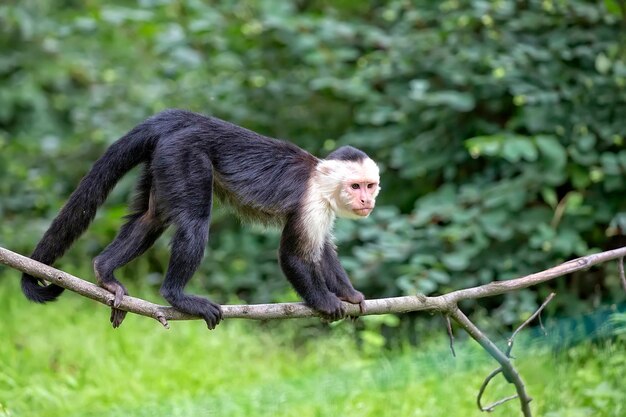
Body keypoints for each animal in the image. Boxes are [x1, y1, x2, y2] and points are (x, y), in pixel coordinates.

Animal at [20, 108, 380, 328]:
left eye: (370, 185)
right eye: (356, 185)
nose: (367, 200)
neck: (321, 182)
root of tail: (185, 120)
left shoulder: (325, 207)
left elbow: (323, 252)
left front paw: (349, 295)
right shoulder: (312, 202)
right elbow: (293, 256)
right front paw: (325, 301)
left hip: (163, 157)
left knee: (152, 218)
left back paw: (105, 273)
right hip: (183, 154)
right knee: (194, 223)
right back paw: (176, 296)